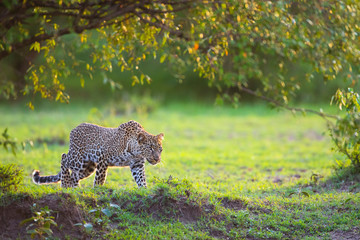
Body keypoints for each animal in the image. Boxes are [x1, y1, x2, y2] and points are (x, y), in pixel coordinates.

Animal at [32, 120, 165, 188]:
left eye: (160, 149)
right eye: (150, 148)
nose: (157, 159)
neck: (135, 152)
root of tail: (74, 129)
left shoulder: (137, 164)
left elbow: (141, 179)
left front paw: (144, 190)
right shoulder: (103, 158)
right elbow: (99, 179)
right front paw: (97, 191)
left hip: (87, 167)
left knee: (74, 175)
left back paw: (74, 189)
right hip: (78, 159)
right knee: (64, 157)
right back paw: (65, 184)